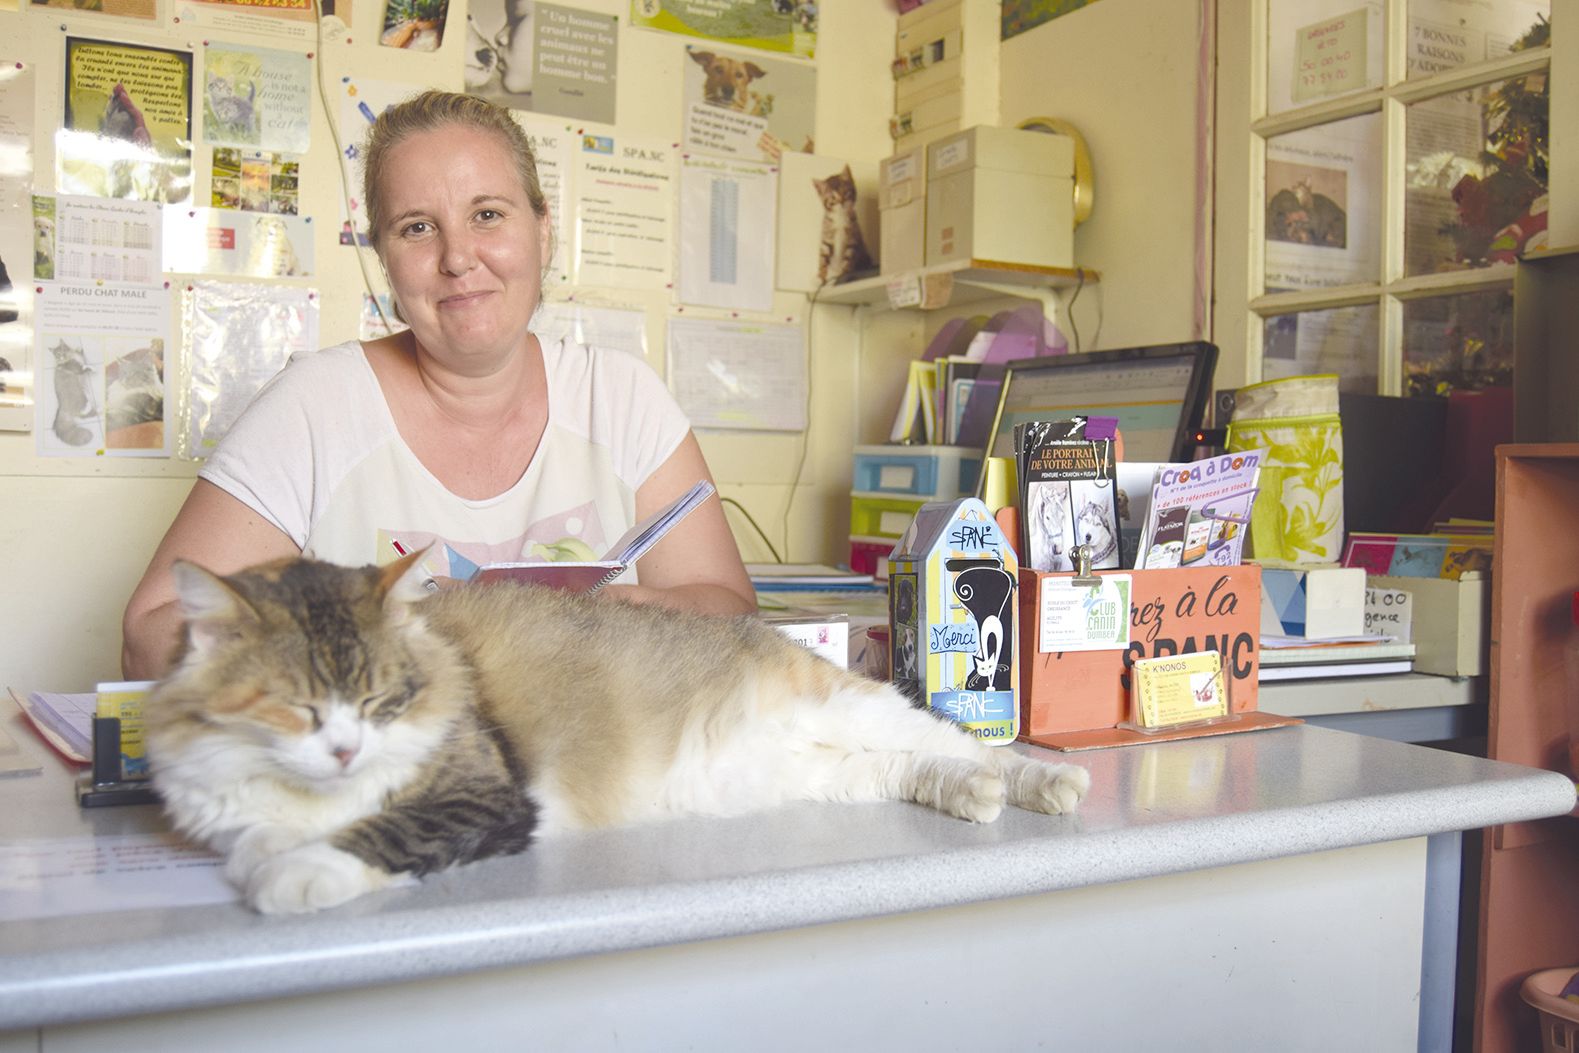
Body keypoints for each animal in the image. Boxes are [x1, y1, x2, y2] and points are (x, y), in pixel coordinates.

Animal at [145, 558, 1086, 915]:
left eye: (383, 701)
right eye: (298, 708)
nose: (344, 750)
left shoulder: (486, 795)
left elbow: (370, 834)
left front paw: (292, 875)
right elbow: (258, 836)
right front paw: (269, 853)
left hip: (847, 710)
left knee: (971, 746)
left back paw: (1042, 784)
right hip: (814, 773)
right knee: (914, 767)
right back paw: (972, 796)